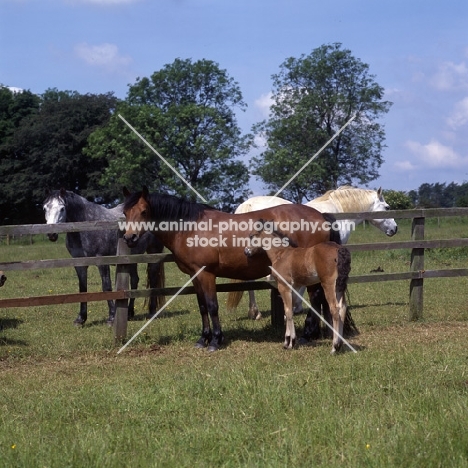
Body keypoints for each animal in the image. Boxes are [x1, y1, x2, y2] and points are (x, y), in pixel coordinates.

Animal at [42, 188, 166, 328]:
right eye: (45, 208)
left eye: (62, 208)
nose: (51, 234)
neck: (86, 226)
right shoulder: (80, 264)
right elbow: (82, 289)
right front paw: (80, 319)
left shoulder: (102, 262)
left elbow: (106, 287)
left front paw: (111, 318)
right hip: (132, 257)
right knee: (135, 280)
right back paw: (129, 313)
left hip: (154, 252)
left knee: (153, 278)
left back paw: (152, 311)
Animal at [229, 185, 396, 320]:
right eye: (387, 207)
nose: (395, 229)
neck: (339, 211)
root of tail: (248, 204)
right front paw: (296, 306)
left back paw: (254, 312)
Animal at [245, 221, 352, 352]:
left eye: (252, 236)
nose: (246, 251)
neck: (280, 254)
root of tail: (338, 249)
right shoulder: (294, 287)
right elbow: (290, 309)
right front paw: (288, 341)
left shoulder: (283, 286)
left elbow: (288, 311)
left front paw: (290, 343)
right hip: (339, 287)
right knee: (342, 308)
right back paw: (340, 344)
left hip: (328, 284)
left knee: (335, 309)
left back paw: (334, 347)